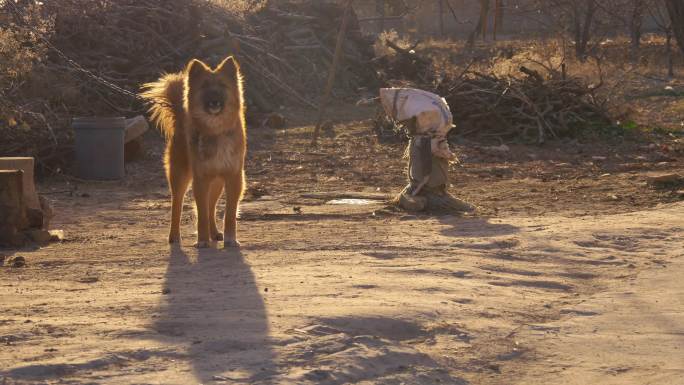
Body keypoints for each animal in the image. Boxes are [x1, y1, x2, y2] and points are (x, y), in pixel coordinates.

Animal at [139, 56, 246, 248]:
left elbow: (229, 214)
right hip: (180, 176)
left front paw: (230, 239)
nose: (214, 100)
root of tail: (180, 115)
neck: (215, 132)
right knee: (177, 206)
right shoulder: (200, 179)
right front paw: (202, 241)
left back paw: (214, 232)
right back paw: (175, 236)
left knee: (211, 206)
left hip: (217, 182)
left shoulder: (233, 177)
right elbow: (201, 213)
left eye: (222, 85)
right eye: (204, 86)